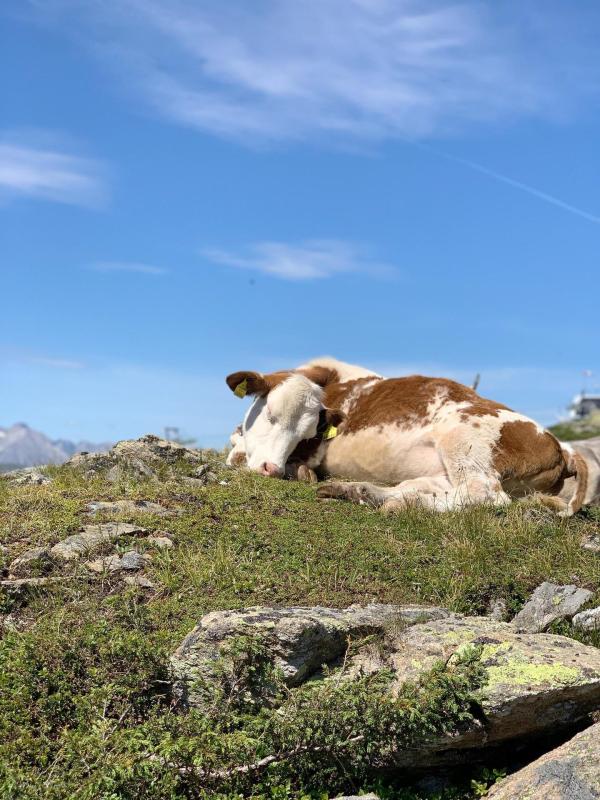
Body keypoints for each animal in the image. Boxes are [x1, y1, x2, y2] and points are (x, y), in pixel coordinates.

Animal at [226, 357, 588, 516]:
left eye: (306, 433)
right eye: (271, 414)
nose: (271, 469)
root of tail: (563, 449)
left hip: (462, 439)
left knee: (484, 495)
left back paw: (394, 503)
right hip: (445, 469)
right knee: (424, 487)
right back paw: (362, 492)